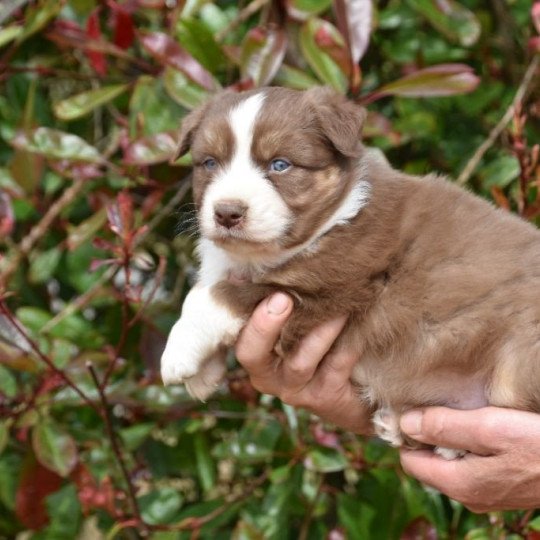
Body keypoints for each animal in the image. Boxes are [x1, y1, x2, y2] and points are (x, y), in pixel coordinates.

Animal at [160, 86, 540, 458]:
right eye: (210, 163)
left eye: (280, 164)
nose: (227, 213)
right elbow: (205, 289)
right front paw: (205, 374)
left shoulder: (329, 287)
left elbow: (215, 296)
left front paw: (178, 353)